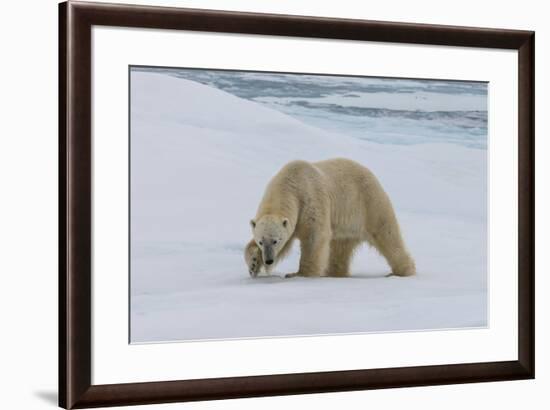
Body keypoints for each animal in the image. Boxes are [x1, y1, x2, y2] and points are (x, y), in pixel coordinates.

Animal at [244, 158, 416, 278]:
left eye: (275, 240)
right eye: (261, 241)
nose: (269, 260)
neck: (291, 182)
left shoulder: (310, 200)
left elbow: (314, 237)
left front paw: (300, 274)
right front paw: (253, 264)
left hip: (369, 203)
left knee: (387, 234)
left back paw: (403, 271)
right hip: (346, 224)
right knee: (340, 248)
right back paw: (334, 273)